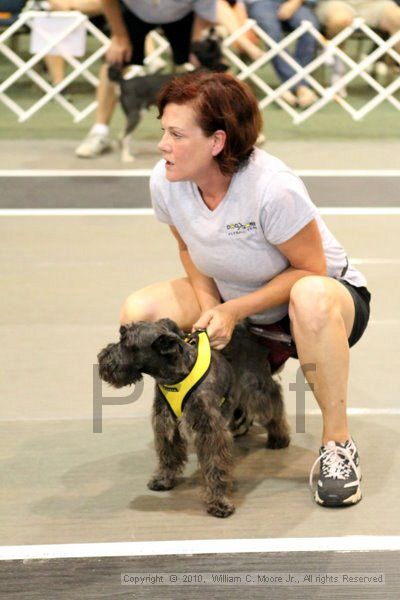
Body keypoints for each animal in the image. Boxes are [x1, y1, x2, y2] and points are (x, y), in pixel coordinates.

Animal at [98, 316, 290, 516]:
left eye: (125, 340)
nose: (102, 356)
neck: (177, 378)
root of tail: (245, 328)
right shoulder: (166, 423)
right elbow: (168, 455)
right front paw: (164, 479)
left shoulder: (210, 431)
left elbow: (215, 466)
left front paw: (219, 501)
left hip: (257, 389)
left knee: (275, 401)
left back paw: (279, 437)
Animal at [108, 28, 228, 162]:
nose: (213, 30)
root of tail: (124, 82)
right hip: (136, 114)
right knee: (124, 136)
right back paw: (126, 157)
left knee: (123, 136)